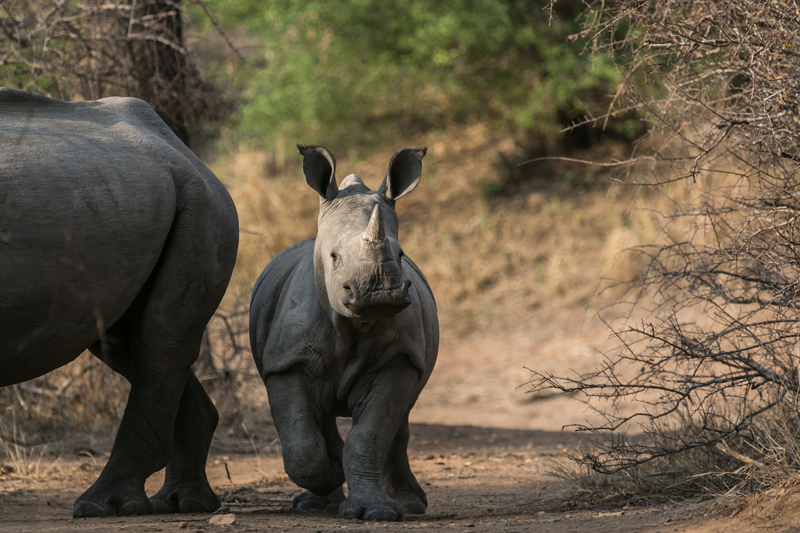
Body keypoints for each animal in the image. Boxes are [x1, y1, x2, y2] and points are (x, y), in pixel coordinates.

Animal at [0, 89, 239, 517]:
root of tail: (193, 157)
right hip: (129, 202)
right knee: (127, 343)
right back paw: (184, 503)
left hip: (200, 202)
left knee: (159, 340)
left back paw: (102, 506)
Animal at [249, 145, 439, 522]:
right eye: (334, 256)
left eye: (401, 254)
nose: (379, 293)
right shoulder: (286, 361)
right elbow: (302, 443)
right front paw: (332, 473)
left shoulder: (400, 357)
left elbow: (370, 435)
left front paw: (376, 511)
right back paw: (315, 501)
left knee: (400, 421)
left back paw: (409, 505)